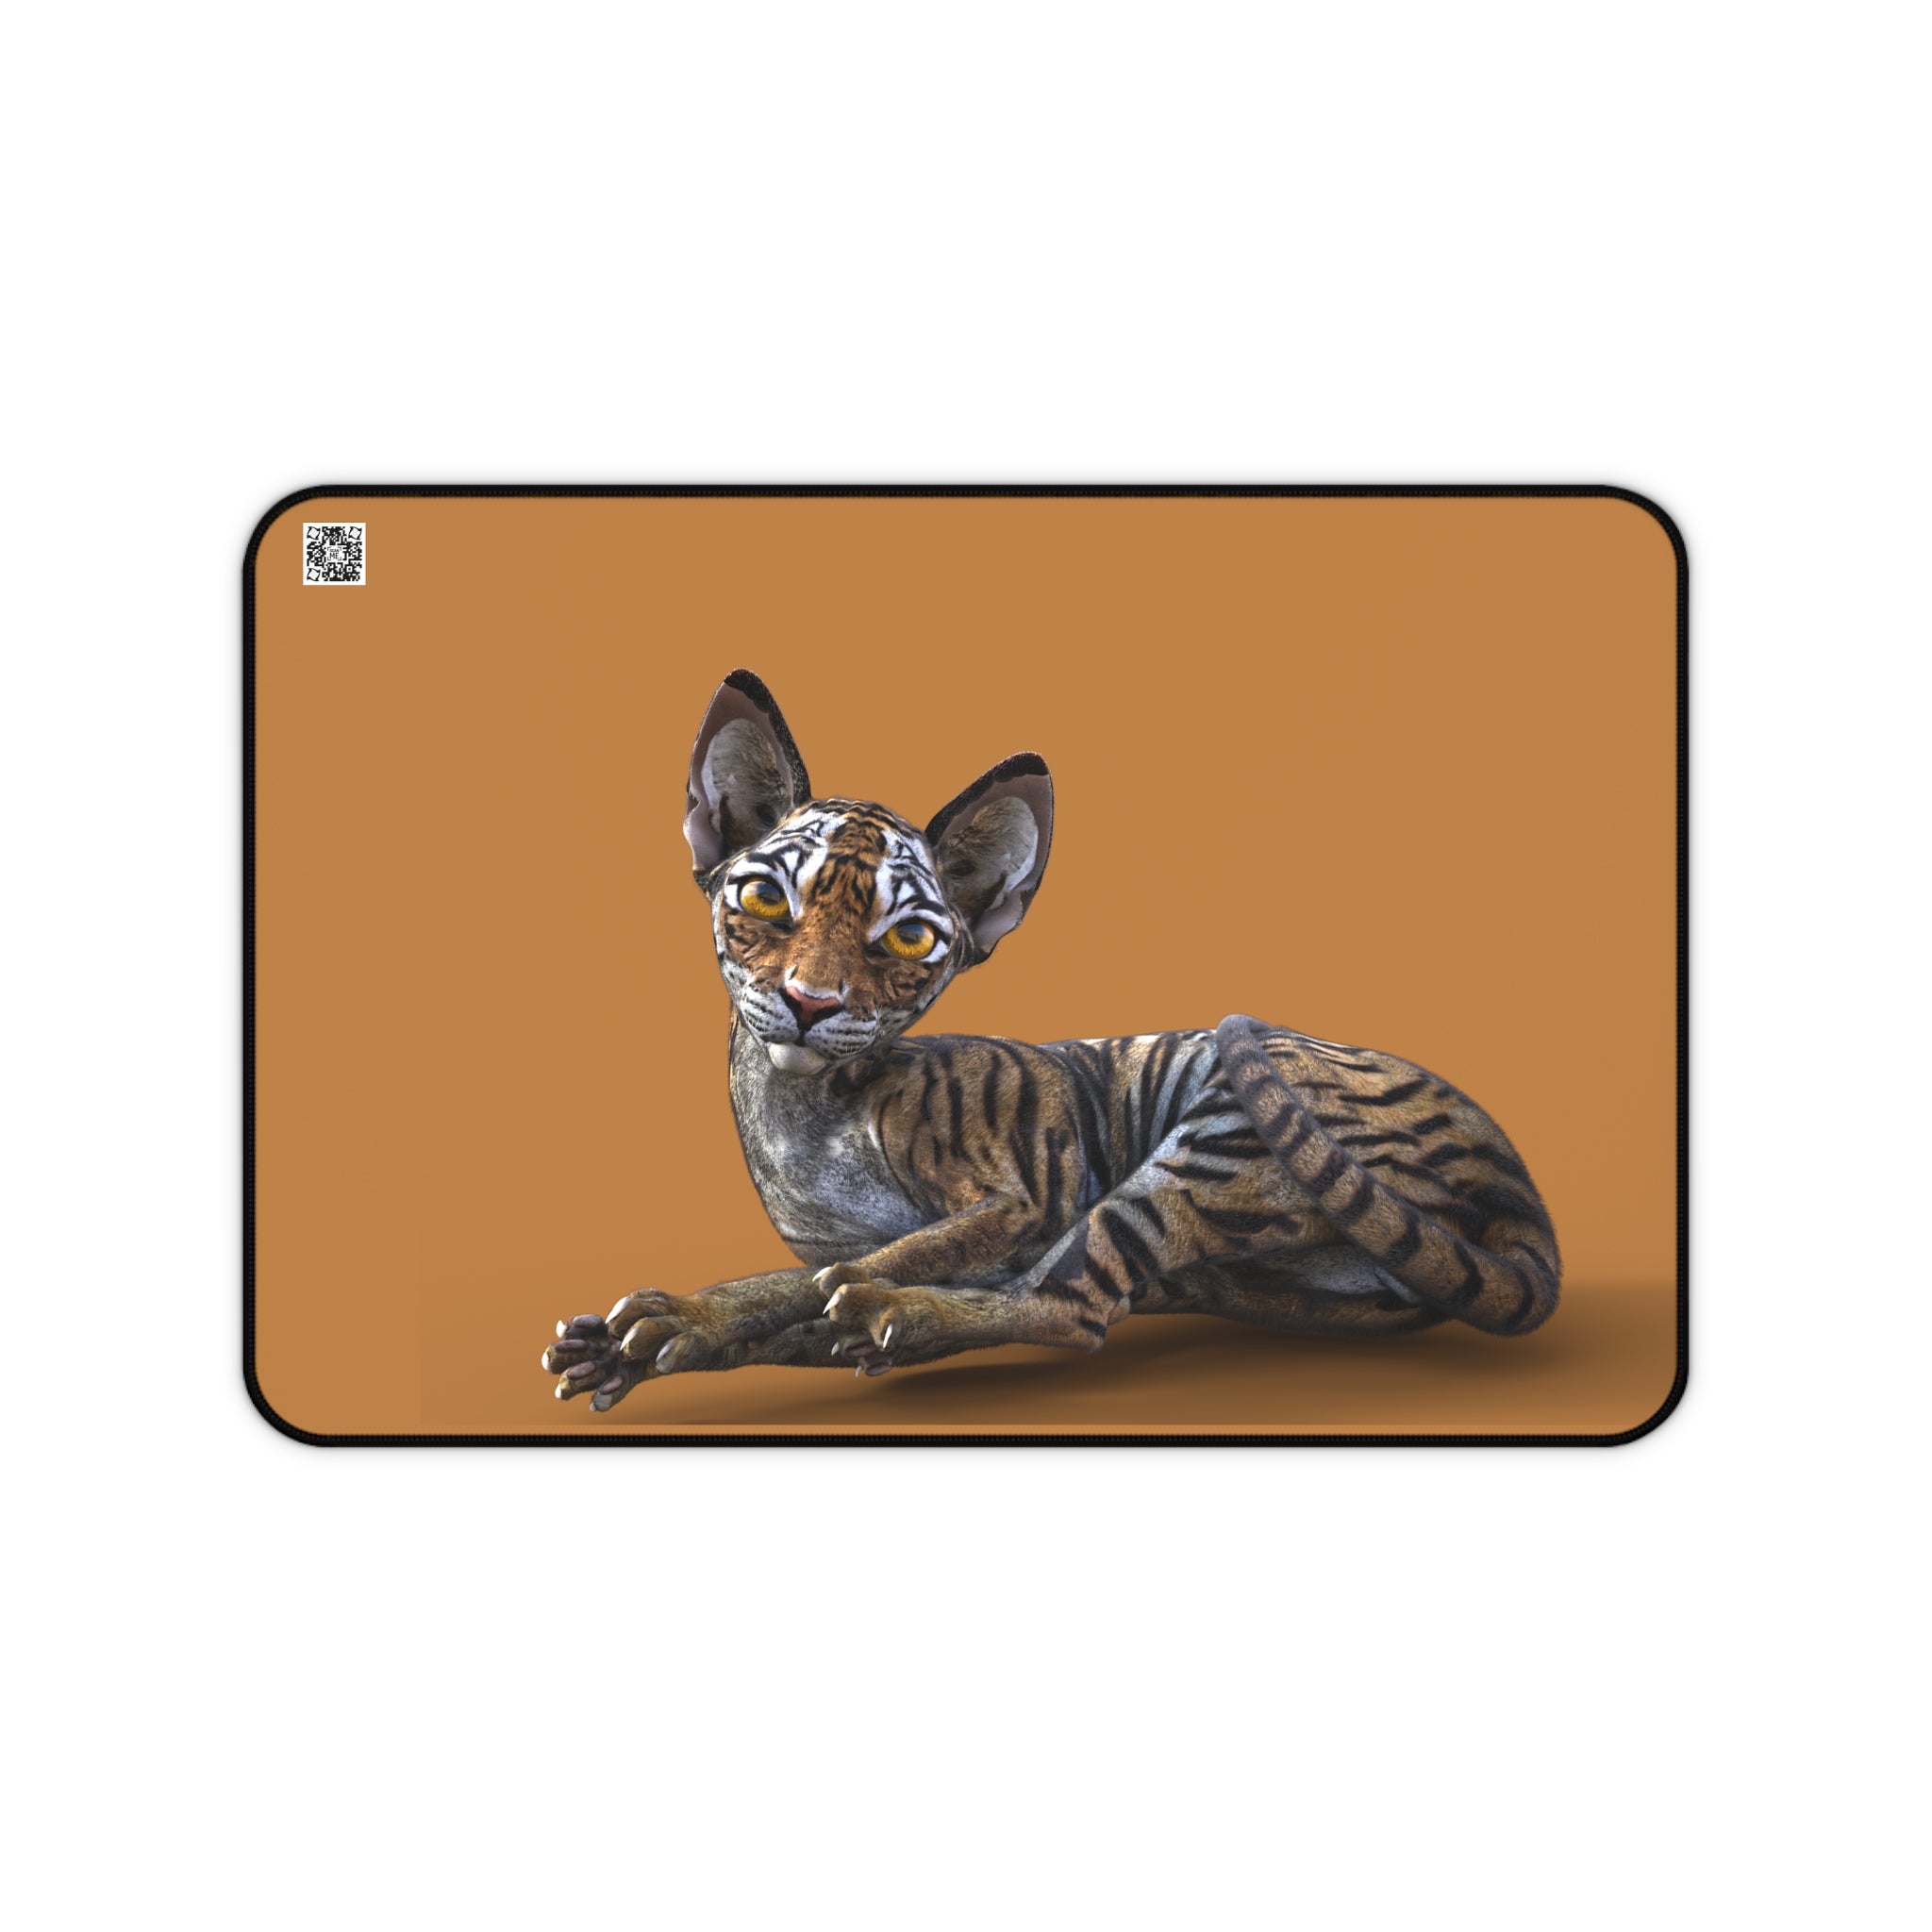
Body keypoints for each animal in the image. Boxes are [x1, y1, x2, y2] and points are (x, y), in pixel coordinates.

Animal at [541, 669, 1561, 1411]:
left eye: (905, 938)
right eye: (763, 898)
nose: (808, 1002)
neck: (802, 1109)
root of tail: (1516, 1179)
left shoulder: (1020, 1199)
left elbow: (850, 1267)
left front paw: (701, 1314)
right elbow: (802, 1289)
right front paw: (656, 1335)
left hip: (1210, 1139)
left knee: (1070, 1308)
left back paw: (893, 1316)